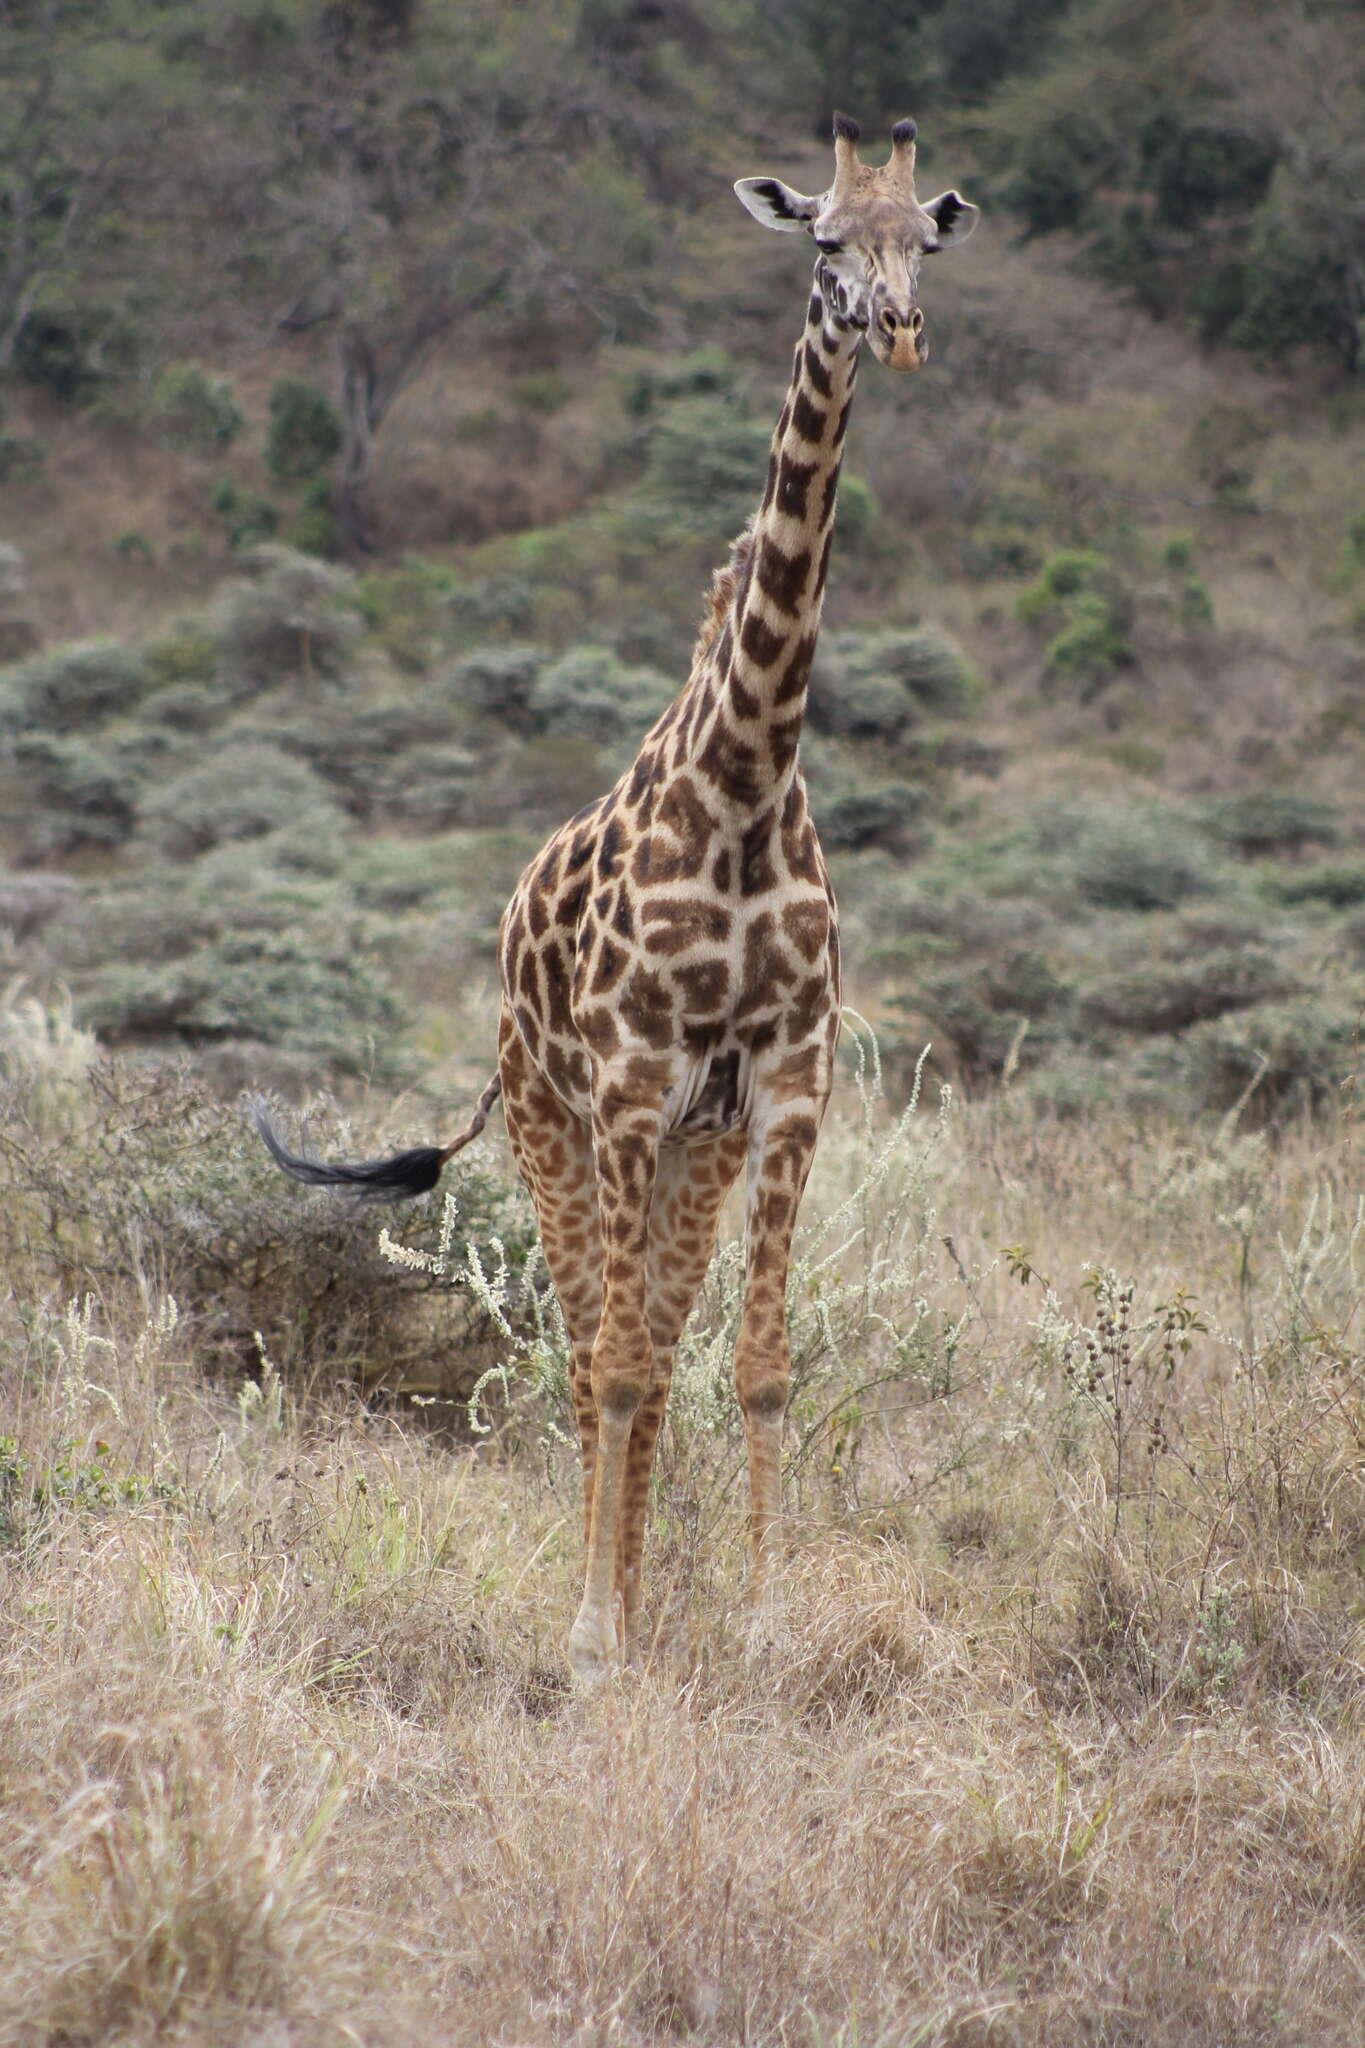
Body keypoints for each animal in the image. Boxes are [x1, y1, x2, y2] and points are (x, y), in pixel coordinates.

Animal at [253, 112, 982, 1679]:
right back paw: (605, 1611)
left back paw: (648, 1592)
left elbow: (756, 1364)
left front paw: (759, 1625)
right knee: (594, 1348)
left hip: (688, 1151)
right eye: (825, 240)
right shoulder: (638, 1083)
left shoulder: (788, 1081)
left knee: (649, 1333)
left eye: (924, 243)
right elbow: (618, 1363)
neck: (748, 779)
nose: (896, 331)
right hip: (553, 1124)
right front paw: (594, 1632)